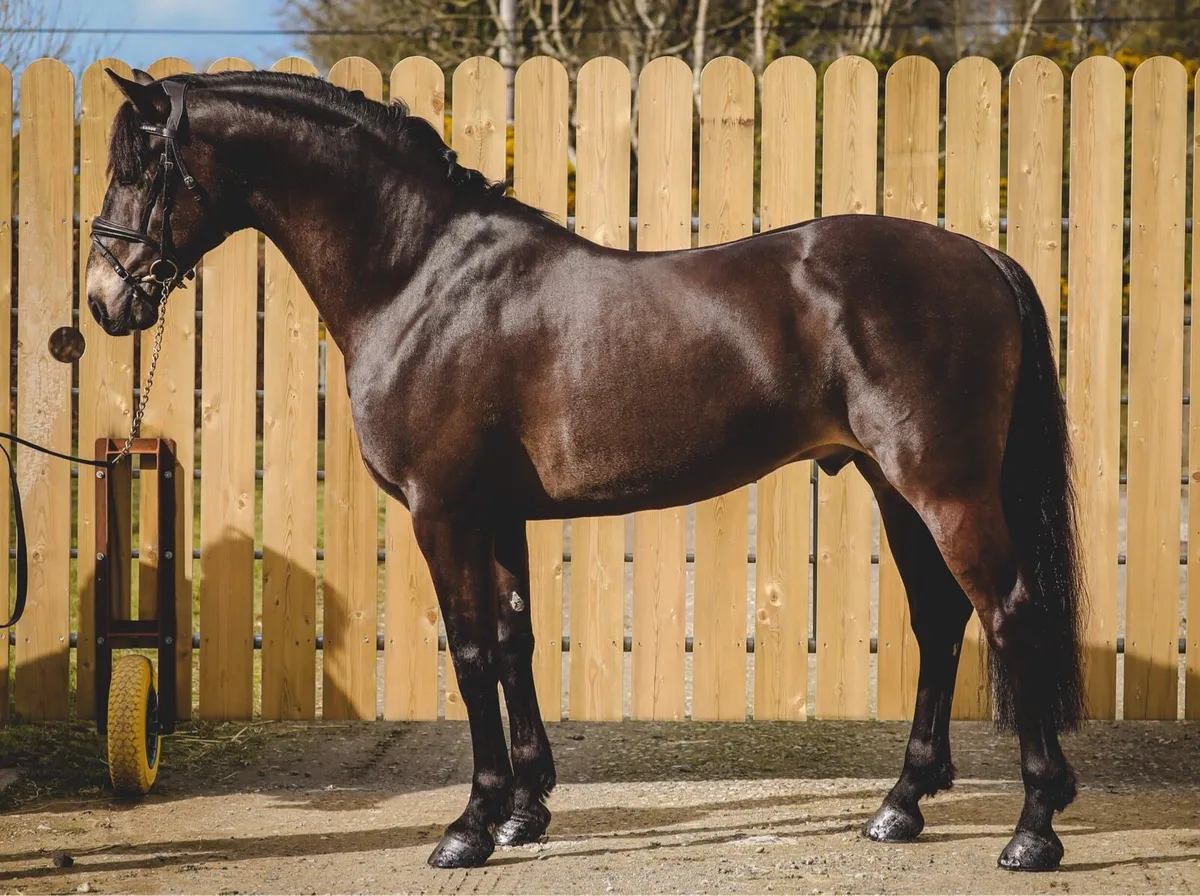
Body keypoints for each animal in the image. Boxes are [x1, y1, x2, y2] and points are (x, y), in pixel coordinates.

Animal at [87, 67, 1085, 873]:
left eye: (139, 168)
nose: (103, 301)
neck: (421, 278)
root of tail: (980, 255)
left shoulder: (442, 511)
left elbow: (470, 651)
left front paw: (469, 826)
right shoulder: (497, 514)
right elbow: (515, 641)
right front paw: (525, 811)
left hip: (943, 489)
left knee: (1008, 613)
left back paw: (1033, 827)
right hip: (896, 489)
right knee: (941, 620)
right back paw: (902, 805)